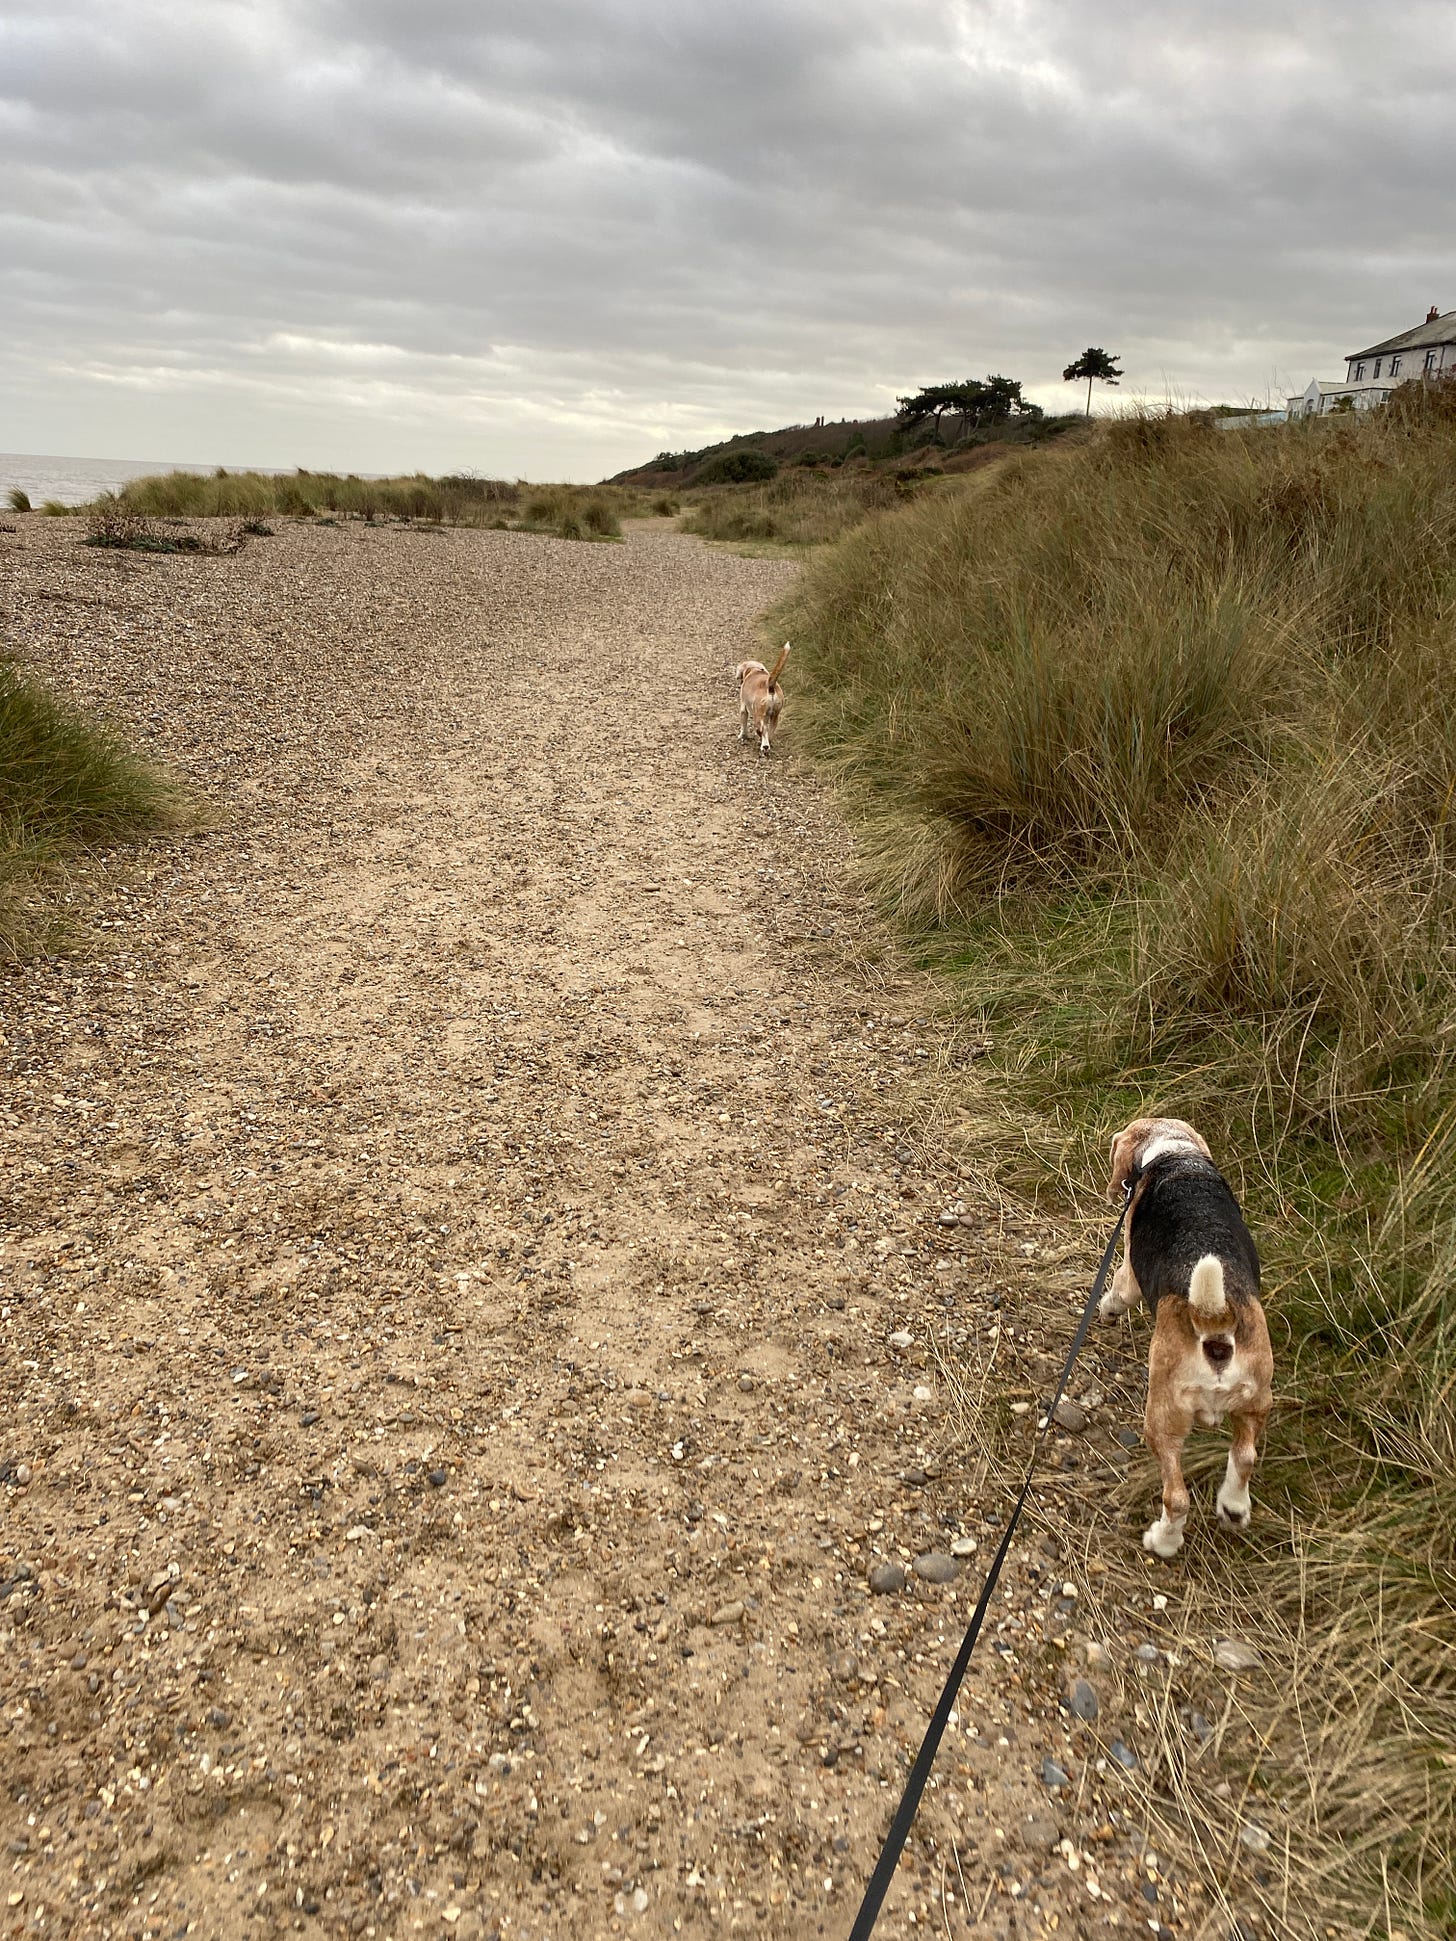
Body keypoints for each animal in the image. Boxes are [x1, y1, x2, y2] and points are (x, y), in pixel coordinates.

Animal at [1102, 1118, 1273, 1552]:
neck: (1175, 1154)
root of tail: (1214, 1319)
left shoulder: (1129, 1271)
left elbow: (1119, 1291)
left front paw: (1107, 1307)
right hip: (1257, 1400)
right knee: (1245, 1456)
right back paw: (1233, 1507)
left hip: (1163, 1418)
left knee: (1176, 1496)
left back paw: (1163, 1540)